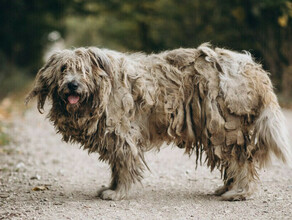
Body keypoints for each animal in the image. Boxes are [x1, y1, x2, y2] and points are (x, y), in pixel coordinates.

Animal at [25, 43, 290, 201]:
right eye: (63, 69)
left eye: (84, 71)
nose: (72, 85)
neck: (104, 88)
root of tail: (254, 69)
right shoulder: (115, 137)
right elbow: (117, 166)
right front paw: (111, 187)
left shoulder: (122, 134)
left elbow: (124, 165)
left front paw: (118, 192)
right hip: (219, 130)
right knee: (234, 161)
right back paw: (227, 188)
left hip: (227, 127)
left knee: (242, 161)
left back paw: (238, 192)